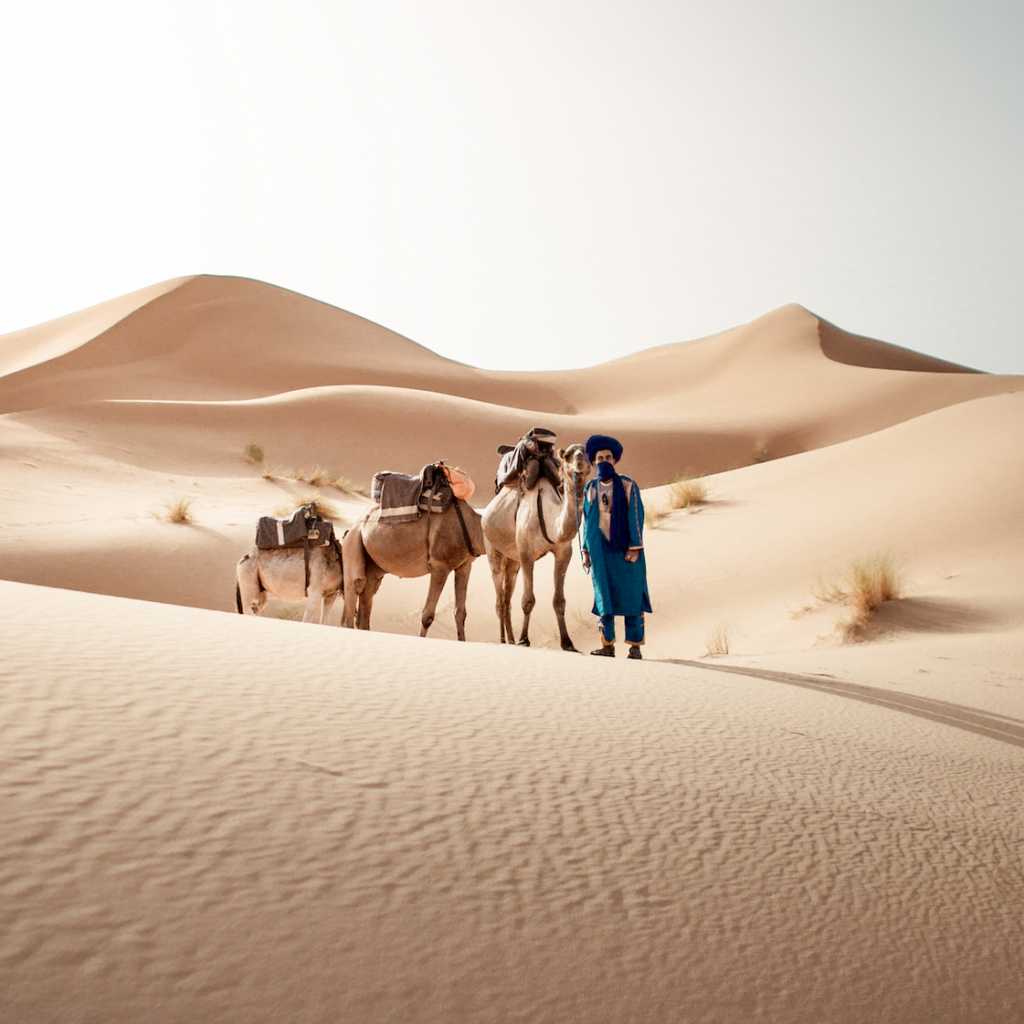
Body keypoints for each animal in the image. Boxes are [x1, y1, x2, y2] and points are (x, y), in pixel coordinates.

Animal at [342, 495, 485, 638]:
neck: (473, 527)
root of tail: (353, 527)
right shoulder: (440, 566)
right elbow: (427, 616)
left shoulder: (464, 565)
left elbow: (460, 614)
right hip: (352, 542)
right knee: (355, 589)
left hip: (373, 565)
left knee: (366, 603)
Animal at [479, 442, 593, 651]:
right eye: (567, 456)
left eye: (586, 453)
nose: (581, 464)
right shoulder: (526, 554)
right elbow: (528, 600)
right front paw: (525, 640)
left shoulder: (564, 552)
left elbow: (559, 601)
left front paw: (567, 643)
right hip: (492, 547)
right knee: (499, 599)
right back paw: (503, 641)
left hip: (513, 561)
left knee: (507, 599)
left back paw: (511, 640)